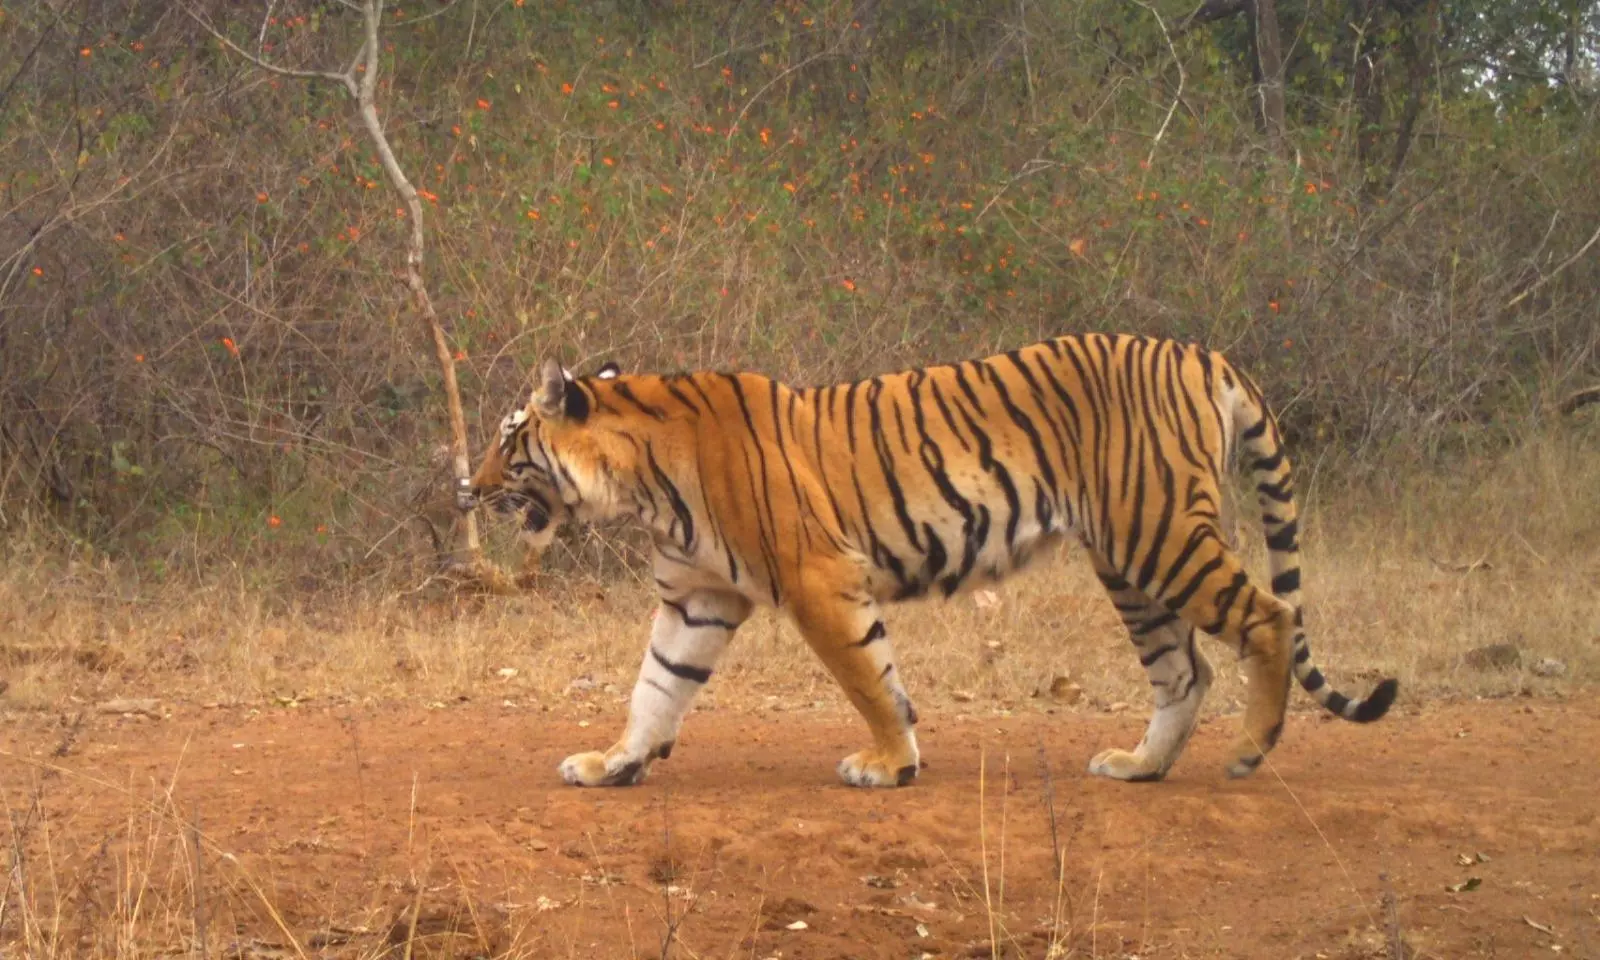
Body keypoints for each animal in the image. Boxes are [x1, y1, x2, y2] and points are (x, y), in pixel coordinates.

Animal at [457, 336, 1395, 787]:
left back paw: (1250, 749)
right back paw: (1140, 767)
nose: (468, 487)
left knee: (1269, 617)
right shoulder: (698, 597)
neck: (643, 478)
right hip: (1130, 562)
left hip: (1160, 532)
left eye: (511, 441)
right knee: (1183, 671)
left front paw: (890, 765)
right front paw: (612, 764)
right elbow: (655, 688)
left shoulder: (818, 579)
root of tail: (1205, 353)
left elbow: (870, 678)